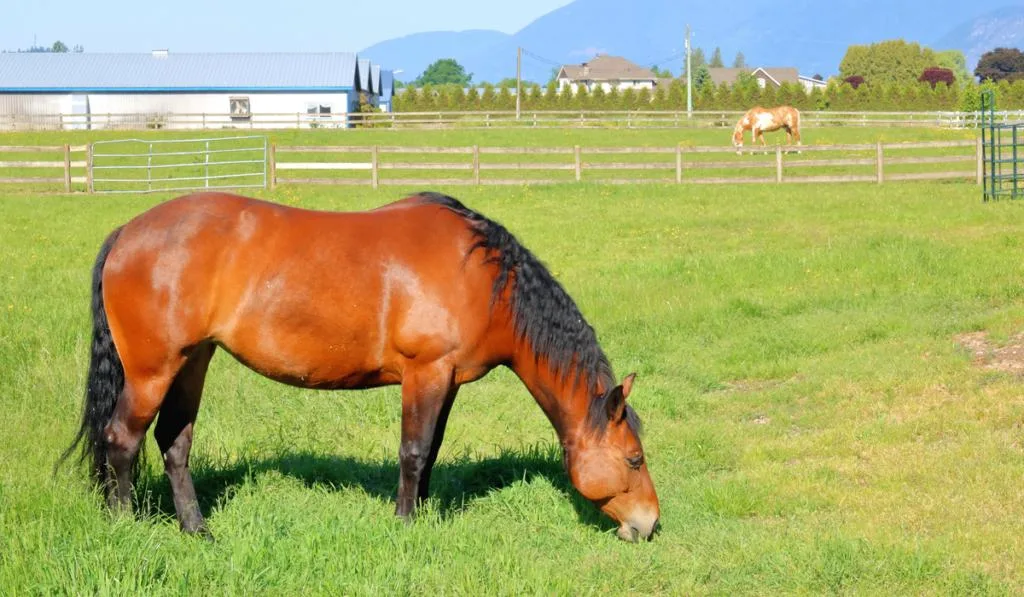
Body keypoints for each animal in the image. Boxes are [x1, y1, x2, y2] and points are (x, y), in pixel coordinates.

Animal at [59, 190, 659, 540]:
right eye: (634, 459)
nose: (650, 524)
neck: (484, 278)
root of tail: (128, 232)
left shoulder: (447, 381)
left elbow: (431, 451)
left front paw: (422, 516)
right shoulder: (425, 372)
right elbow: (413, 452)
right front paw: (404, 525)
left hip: (193, 361)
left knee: (173, 443)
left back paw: (197, 530)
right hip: (152, 372)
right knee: (121, 440)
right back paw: (124, 526)